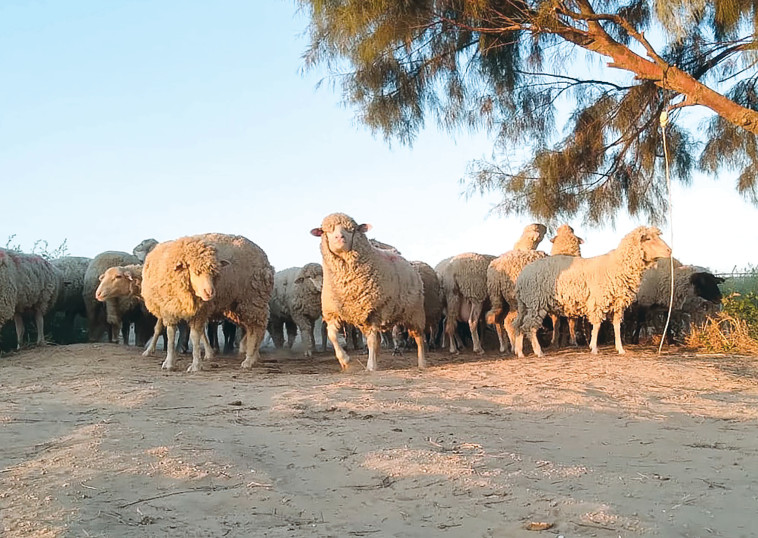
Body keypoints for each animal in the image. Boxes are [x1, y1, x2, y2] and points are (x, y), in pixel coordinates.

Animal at [141, 232, 274, 370]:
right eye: (196, 272)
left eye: (214, 272)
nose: (210, 292)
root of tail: (264, 256)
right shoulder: (169, 309)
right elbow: (171, 334)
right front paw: (169, 362)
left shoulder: (199, 311)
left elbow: (195, 336)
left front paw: (196, 365)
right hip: (237, 306)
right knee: (251, 327)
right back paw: (252, 355)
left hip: (253, 299)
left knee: (256, 328)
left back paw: (249, 360)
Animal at [310, 211, 428, 370]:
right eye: (326, 231)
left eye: (351, 229)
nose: (339, 237)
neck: (346, 283)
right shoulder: (334, 312)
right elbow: (332, 335)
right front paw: (345, 361)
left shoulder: (373, 312)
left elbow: (371, 341)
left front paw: (371, 366)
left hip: (414, 312)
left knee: (419, 337)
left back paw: (422, 362)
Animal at [516, 225, 672, 356]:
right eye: (649, 238)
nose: (669, 250)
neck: (617, 266)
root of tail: (522, 277)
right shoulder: (598, 301)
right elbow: (597, 326)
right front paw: (594, 348)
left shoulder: (618, 304)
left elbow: (617, 327)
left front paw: (620, 349)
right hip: (535, 303)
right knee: (529, 326)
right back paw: (538, 351)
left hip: (525, 305)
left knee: (518, 325)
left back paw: (520, 352)